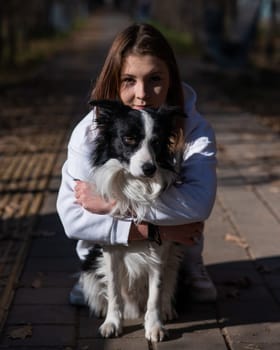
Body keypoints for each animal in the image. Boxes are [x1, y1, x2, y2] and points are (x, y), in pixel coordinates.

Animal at [79, 99, 186, 342]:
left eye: (156, 142)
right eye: (128, 139)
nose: (150, 168)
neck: (135, 184)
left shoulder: (160, 249)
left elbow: (155, 292)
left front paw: (155, 326)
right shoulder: (109, 249)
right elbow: (113, 289)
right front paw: (112, 322)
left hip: (174, 258)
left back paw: (167, 309)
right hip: (89, 264)